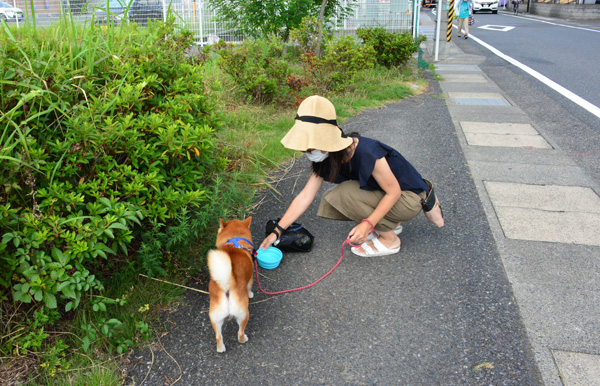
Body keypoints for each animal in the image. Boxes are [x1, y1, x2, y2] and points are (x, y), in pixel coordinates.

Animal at [207, 217, 254, 352]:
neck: (234, 241)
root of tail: (227, 286)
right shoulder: (251, 278)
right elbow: (250, 288)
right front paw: (250, 294)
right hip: (244, 314)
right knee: (240, 333)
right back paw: (244, 339)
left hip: (215, 318)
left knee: (218, 336)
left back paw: (221, 348)